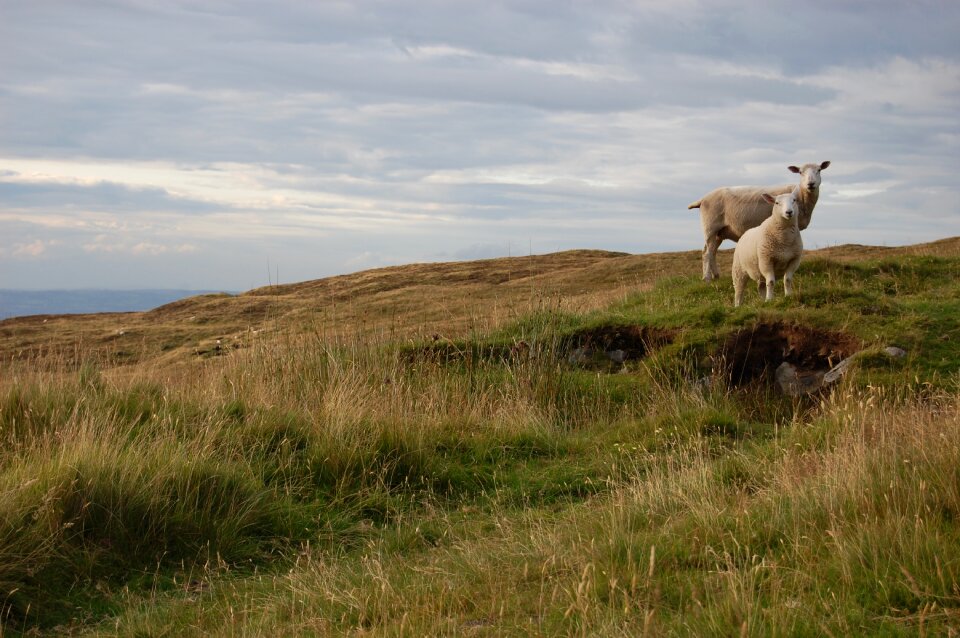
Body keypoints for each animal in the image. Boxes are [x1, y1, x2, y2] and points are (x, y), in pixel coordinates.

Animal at [688, 161, 828, 282]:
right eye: (800, 172)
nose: (811, 184)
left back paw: (716, 276)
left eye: (819, 170)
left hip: (719, 232)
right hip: (710, 227)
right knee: (706, 253)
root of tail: (703, 199)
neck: (802, 196)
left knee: (712, 252)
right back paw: (707, 278)